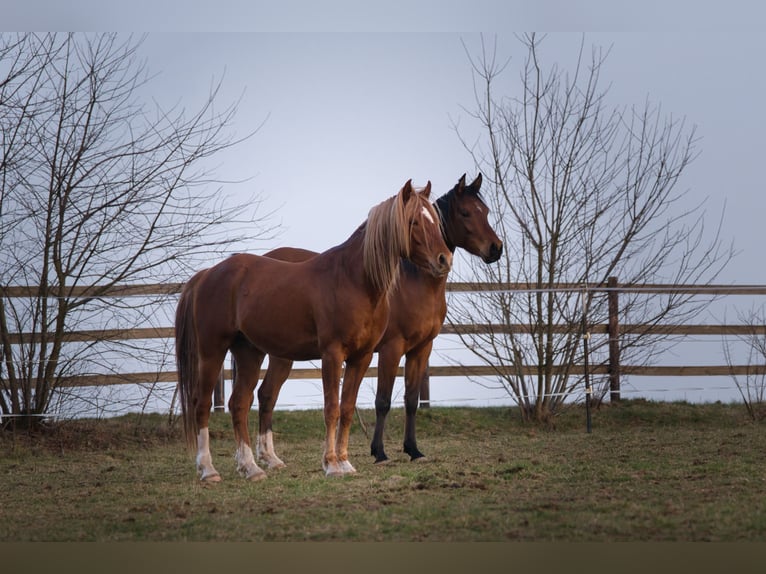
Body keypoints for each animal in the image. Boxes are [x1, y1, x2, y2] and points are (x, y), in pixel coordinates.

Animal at [175, 180, 452, 481]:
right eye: (413, 222)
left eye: (435, 219)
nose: (444, 259)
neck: (354, 280)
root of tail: (208, 273)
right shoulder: (333, 354)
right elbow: (331, 408)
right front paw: (331, 464)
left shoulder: (362, 357)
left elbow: (347, 408)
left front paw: (345, 462)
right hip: (212, 351)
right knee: (202, 404)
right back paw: (208, 469)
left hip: (249, 353)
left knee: (239, 403)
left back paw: (251, 468)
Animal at [255, 173, 503, 468]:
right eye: (465, 213)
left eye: (485, 211)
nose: (496, 249)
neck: (413, 284)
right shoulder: (390, 349)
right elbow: (383, 401)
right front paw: (379, 452)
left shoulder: (421, 349)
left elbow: (411, 400)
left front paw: (413, 450)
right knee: (266, 394)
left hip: (281, 353)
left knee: (266, 394)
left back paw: (269, 458)